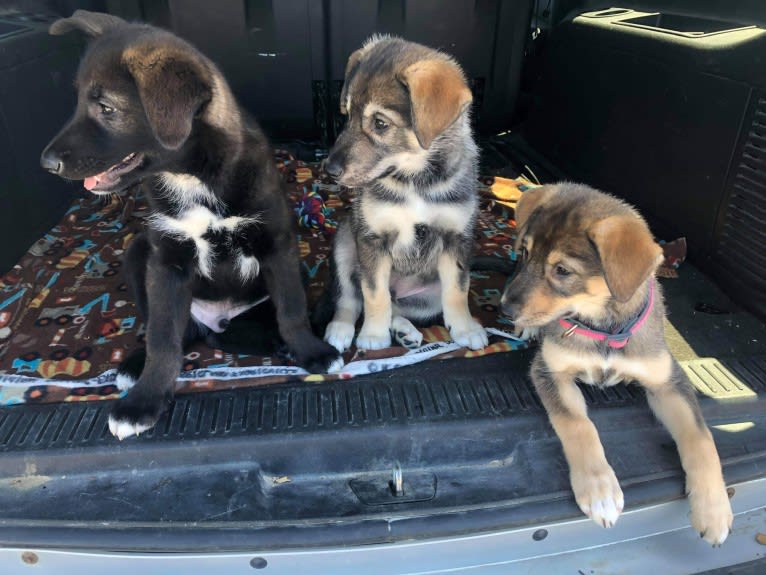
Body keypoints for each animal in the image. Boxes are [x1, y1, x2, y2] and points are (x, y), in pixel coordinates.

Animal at [41, 10, 342, 440]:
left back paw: (277, 343)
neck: (194, 176)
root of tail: (214, 320)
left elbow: (291, 308)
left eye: (106, 108)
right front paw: (145, 401)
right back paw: (135, 364)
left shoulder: (276, 244)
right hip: (139, 253)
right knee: (170, 329)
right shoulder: (167, 261)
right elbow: (163, 338)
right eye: (79, 102)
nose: (47, 163)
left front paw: (311, 351)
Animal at [500, 183, 736, 544]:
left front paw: (714, 509)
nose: (504, 310)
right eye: (524, 253)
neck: (604, 329)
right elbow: (578, 425)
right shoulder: (549, 371)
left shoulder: (669, 382)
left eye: (562, 271)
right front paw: (599, 489)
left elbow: (701, 437)